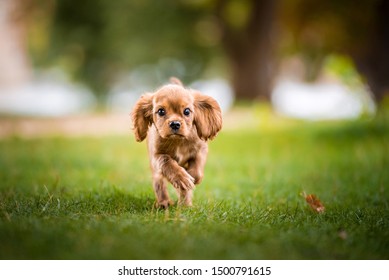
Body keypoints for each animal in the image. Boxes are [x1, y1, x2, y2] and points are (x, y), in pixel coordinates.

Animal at [130, 78, 221, 208]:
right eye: (161, 111)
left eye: (187, 111)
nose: (175, 124)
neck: (177, 141)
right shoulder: (156, 156)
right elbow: (166, 161)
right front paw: (181, 177)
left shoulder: (201, 149)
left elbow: (197, 170)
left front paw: (190, 177)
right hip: (156, 172)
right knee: (159, 184)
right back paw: (164, 202)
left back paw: (185, 204)